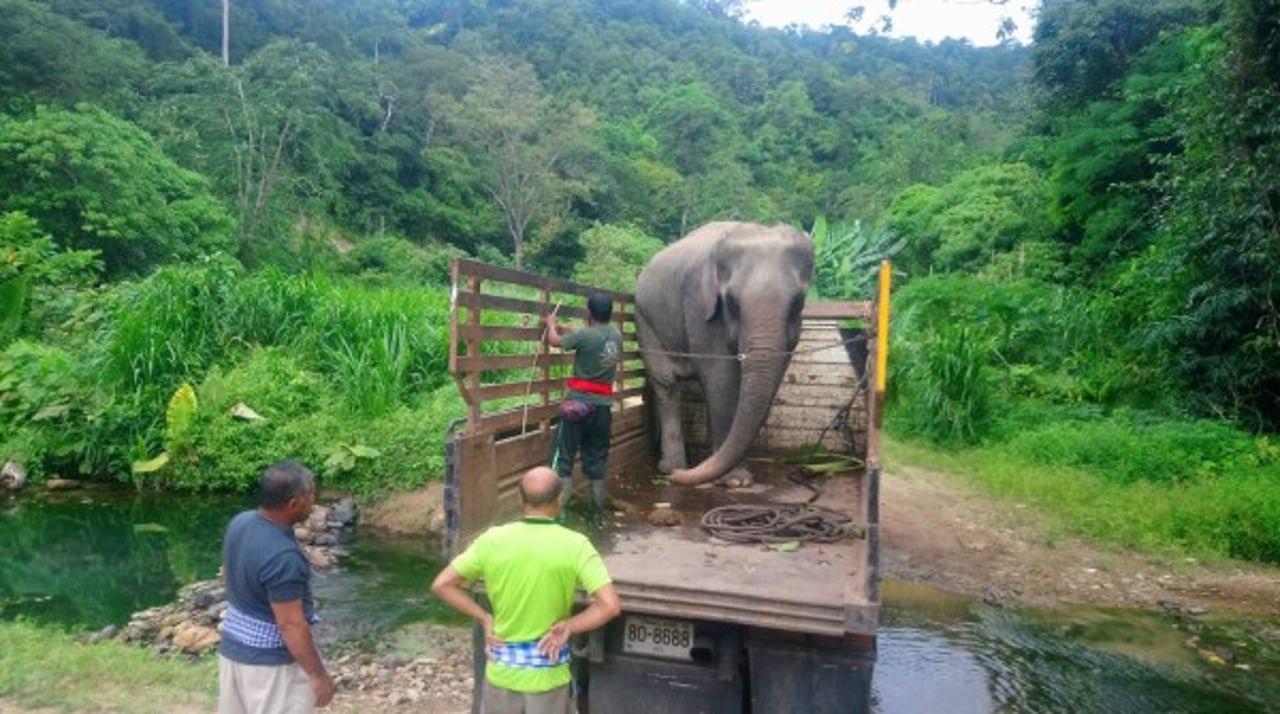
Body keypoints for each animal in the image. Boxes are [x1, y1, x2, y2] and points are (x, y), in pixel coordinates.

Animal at [634, 223, 814, 488]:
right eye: (731, 302)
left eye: (798, 302)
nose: (678, 479)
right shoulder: (699, 306)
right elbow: (722, 379)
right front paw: (736, 481)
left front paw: (731, 477)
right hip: (645, 321)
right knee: (666, 383)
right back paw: (673, 468)